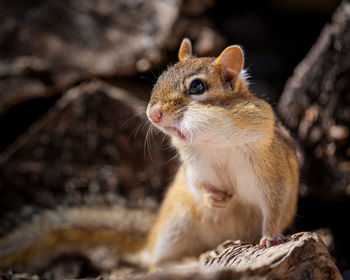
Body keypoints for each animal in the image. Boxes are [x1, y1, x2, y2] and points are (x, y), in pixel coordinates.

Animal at [141, 38, 300, 268]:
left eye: (197, 86)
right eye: (162, 77)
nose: (153, 114)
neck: (215, 143)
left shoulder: (272, 171)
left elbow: (273, 207)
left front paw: (270, 237)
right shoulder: (195, 168)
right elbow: (197, 185)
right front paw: (214, 199)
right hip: (173, 229)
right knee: (157, 263)